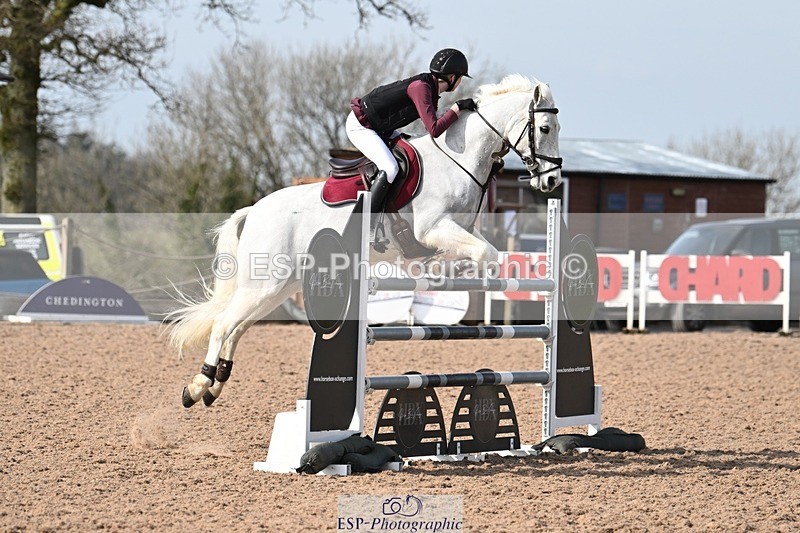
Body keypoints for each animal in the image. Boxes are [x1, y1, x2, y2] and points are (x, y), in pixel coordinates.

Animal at [170, 74, 562, 408]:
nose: (552, 182)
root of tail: (254, 210)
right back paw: (197, 386)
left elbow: (487, 251)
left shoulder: (460, 228)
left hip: (277, 287)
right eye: (544, 128)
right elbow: (484, 252)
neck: (459, 156)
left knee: (237, 327)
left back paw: (215, 385)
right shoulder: (433, 228)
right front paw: (448, 273)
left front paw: (447, 271)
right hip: (266, 283)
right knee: (224, 325)